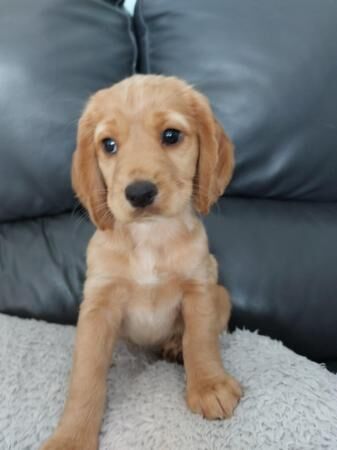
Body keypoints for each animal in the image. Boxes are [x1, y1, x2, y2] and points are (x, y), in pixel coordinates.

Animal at [42, 74, 240, 450]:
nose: (139, 193)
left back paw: (174, 345)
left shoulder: (199, 290)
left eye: (171, 136)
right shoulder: (98, 305)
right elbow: (86, 375)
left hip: (221, 294)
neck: (150, 237)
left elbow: (201, 341)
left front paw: (208, 385)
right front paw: (72, 436)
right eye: (108, 144)